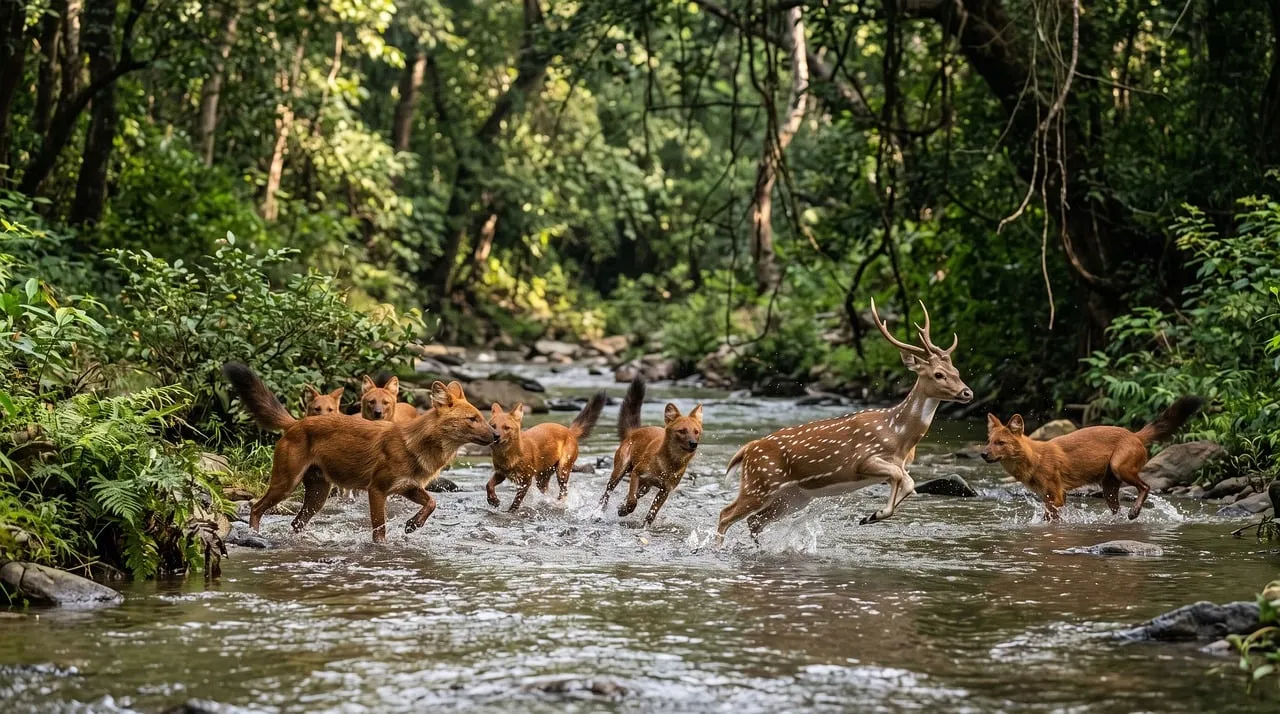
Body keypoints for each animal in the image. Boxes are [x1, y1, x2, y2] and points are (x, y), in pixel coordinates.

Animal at [716, 300, 973, 544]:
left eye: (957, 371)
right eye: (938, 374)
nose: (967, 392)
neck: (898, 434)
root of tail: (746, 450)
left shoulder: (899, 464)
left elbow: (909, 483)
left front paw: (871, 516)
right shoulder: (863, 460)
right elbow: (900, 477)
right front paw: (874, 515)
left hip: (794, 496)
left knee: (754, 521)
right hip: (760, 482)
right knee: (726, 514)